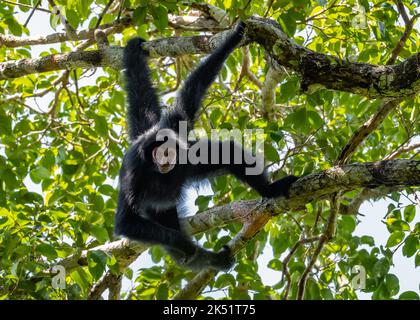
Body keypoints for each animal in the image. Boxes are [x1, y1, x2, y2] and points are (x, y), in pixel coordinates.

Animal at [115, 21, 298, 270]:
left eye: (168, 149)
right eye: (156, 152)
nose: (165, 157)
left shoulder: (177, 134)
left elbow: (192, 93)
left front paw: (234, 37)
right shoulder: (133, 170)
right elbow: (125, 223)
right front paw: (184, 244)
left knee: (227, 153)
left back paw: (270, 191)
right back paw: (209, 259)